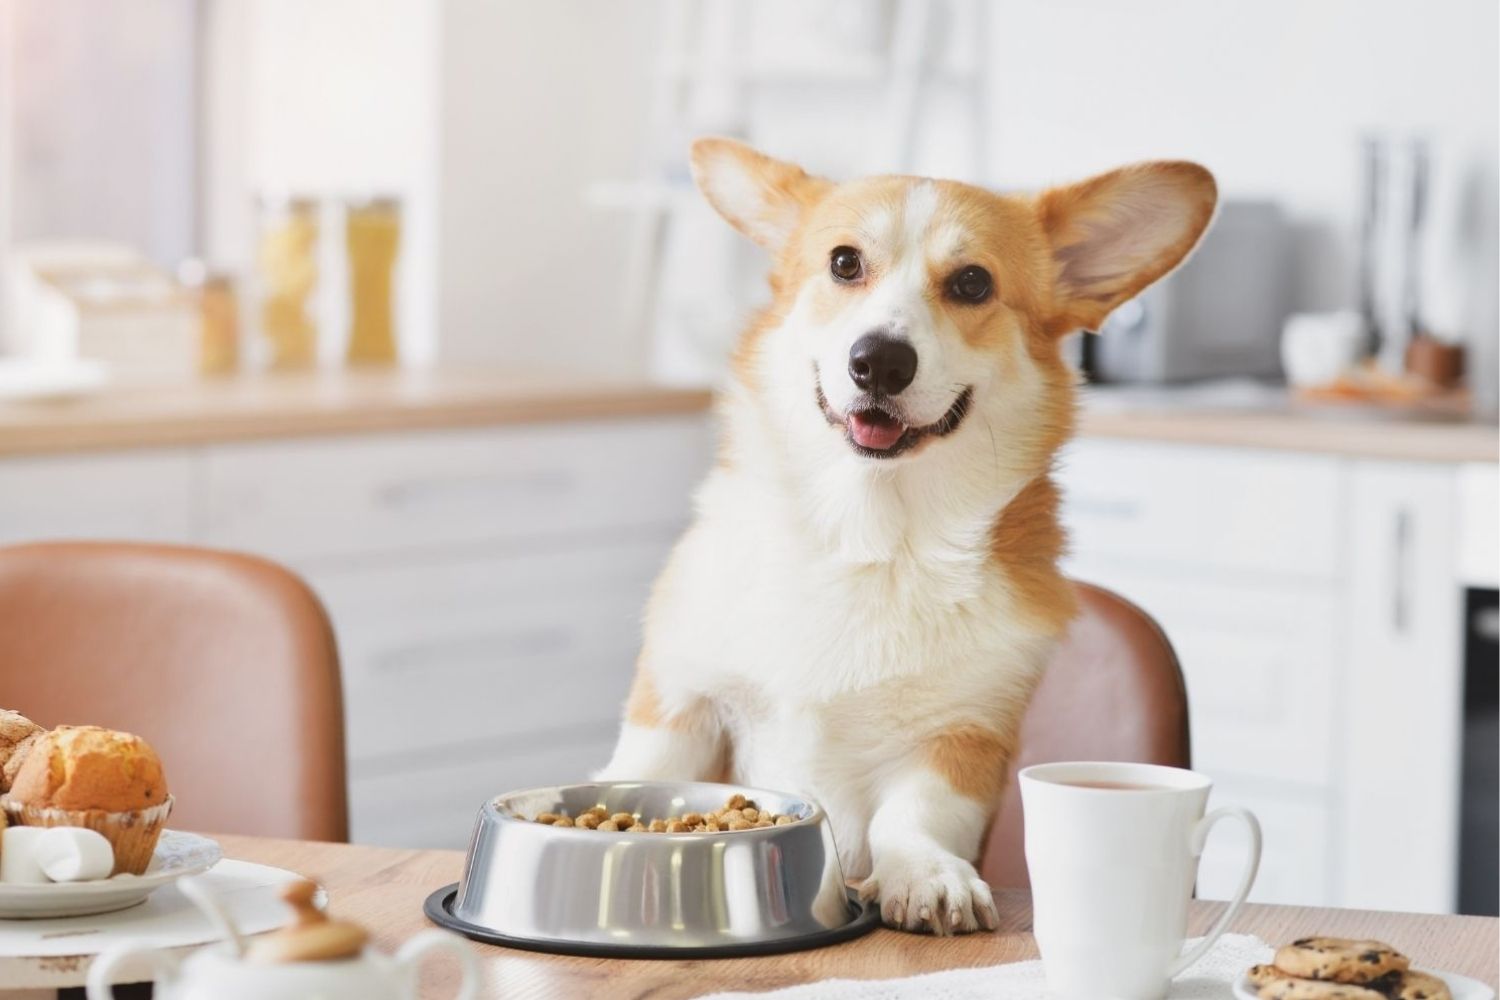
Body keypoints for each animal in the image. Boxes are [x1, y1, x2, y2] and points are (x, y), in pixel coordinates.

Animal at [591, 140, 1212, 941]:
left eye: (974, 282)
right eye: (844, 263)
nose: (879, 360)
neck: (868, 537)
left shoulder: (964, 740)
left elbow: (914, 816)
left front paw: (926, 875)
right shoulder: (679, 702)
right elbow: (645, 769)